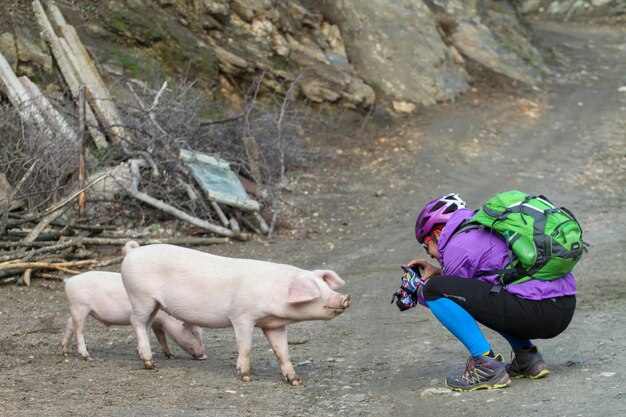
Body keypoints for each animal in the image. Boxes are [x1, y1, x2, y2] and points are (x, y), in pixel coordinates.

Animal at [60, 272, 204, 360]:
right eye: (194, 333)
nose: (203, 356)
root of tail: (69, 281)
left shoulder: (157, 323)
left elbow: (162, 338)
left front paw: (171, 356)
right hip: (80, 307)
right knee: (79, 329)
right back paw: (87, 357)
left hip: (77, 309)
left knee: (69, 323)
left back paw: (65, 351)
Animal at [119, 242, 348, 386]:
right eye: (317, 290)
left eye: (326, 286)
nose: (345, 297)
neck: (275, 293)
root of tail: (132, 252)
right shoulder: (242, 316)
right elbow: (245, 346)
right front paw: (245, 377)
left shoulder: (274, 325)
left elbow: (282, 352)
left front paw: (296, 382)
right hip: (140, 296)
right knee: (136, 322)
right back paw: (150, 364)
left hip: (153, 304)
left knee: (146, 324)